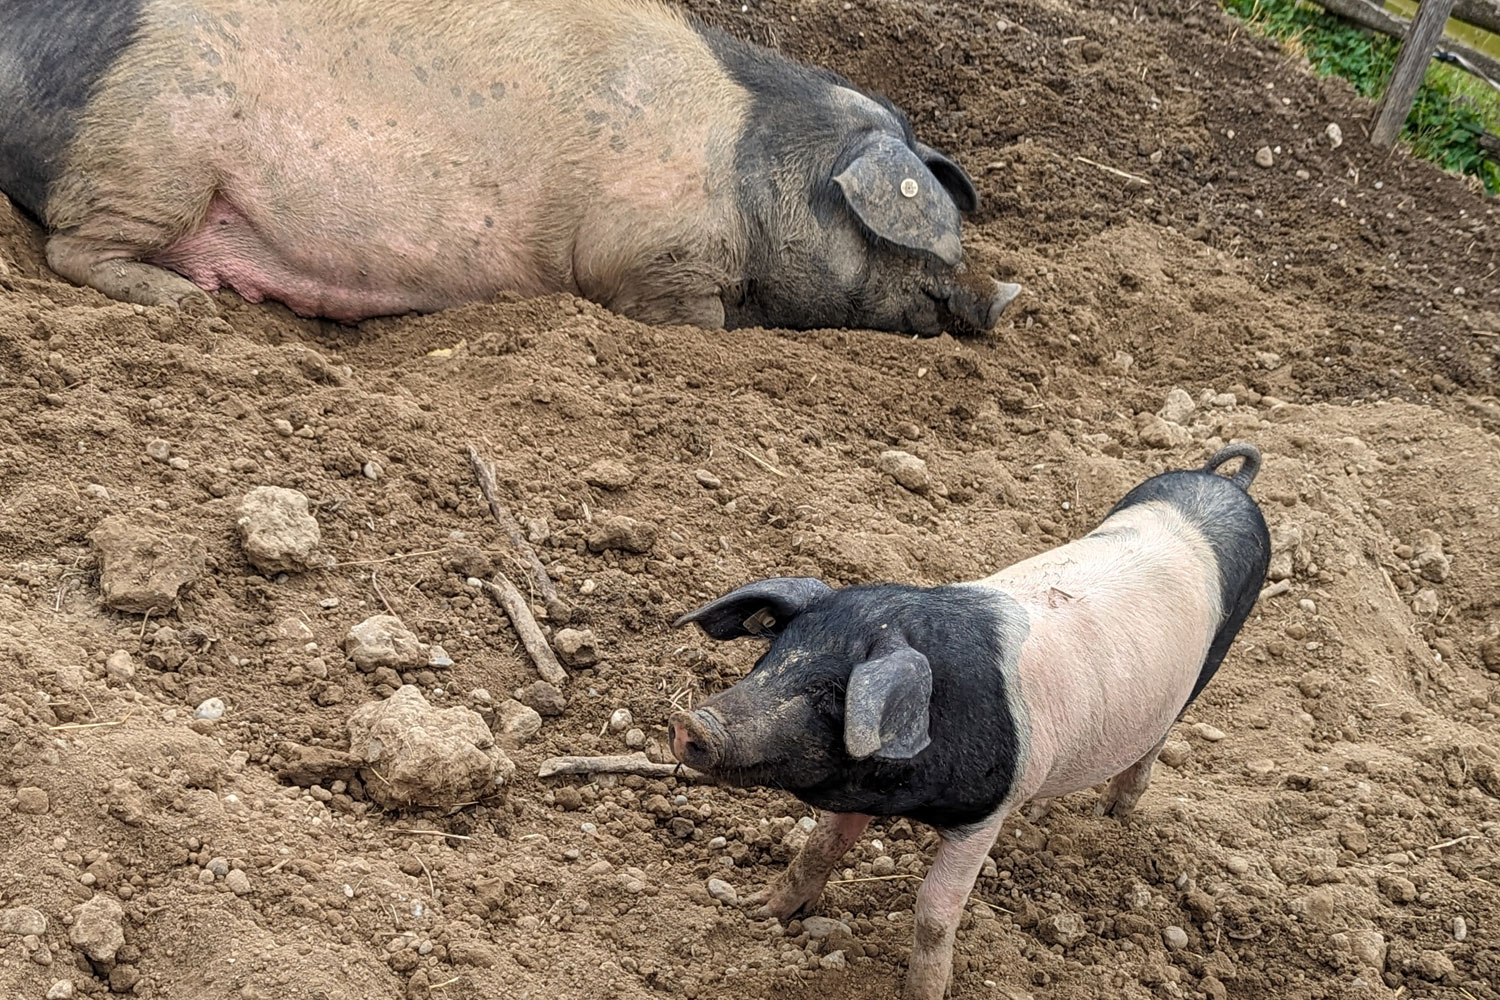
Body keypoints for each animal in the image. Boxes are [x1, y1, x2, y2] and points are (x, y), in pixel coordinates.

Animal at [0, 0, 1020, 335]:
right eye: (924, 240)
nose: (1000, 299)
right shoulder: (653, 259)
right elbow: (697, 324)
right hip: (149, 148)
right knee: (74, 250)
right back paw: (184, 303)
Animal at [675, 446, 1272, 1000]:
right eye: (770, 657)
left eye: (833, 692)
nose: (691, 723)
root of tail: (1229, 483)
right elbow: (819, 848)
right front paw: (758, 912)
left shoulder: (985, 814)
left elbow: (935, 911)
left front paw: (924, 993)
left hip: (1213, 655)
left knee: (1158, 738)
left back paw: (1112, 814)